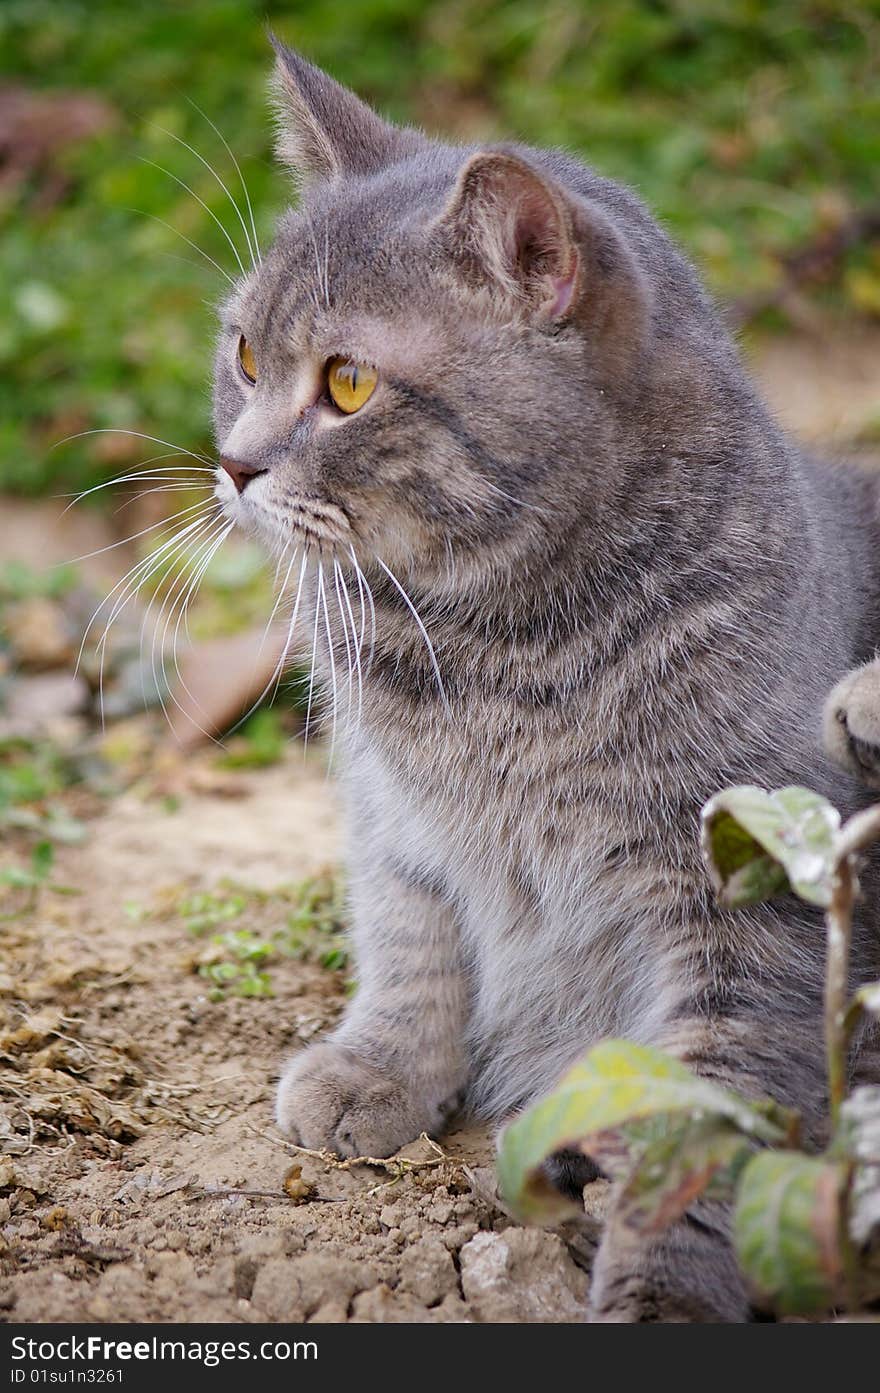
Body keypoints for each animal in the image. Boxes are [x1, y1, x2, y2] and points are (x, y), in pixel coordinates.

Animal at [211, 43, 880, 1320]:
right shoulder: (393, 813)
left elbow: (703, 1116)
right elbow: (412, 941)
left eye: (349, 384)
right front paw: (375, 1068)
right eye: (245, 356)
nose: (232, 463)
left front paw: (659, 1291)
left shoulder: (747, 890)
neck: (489, 657)